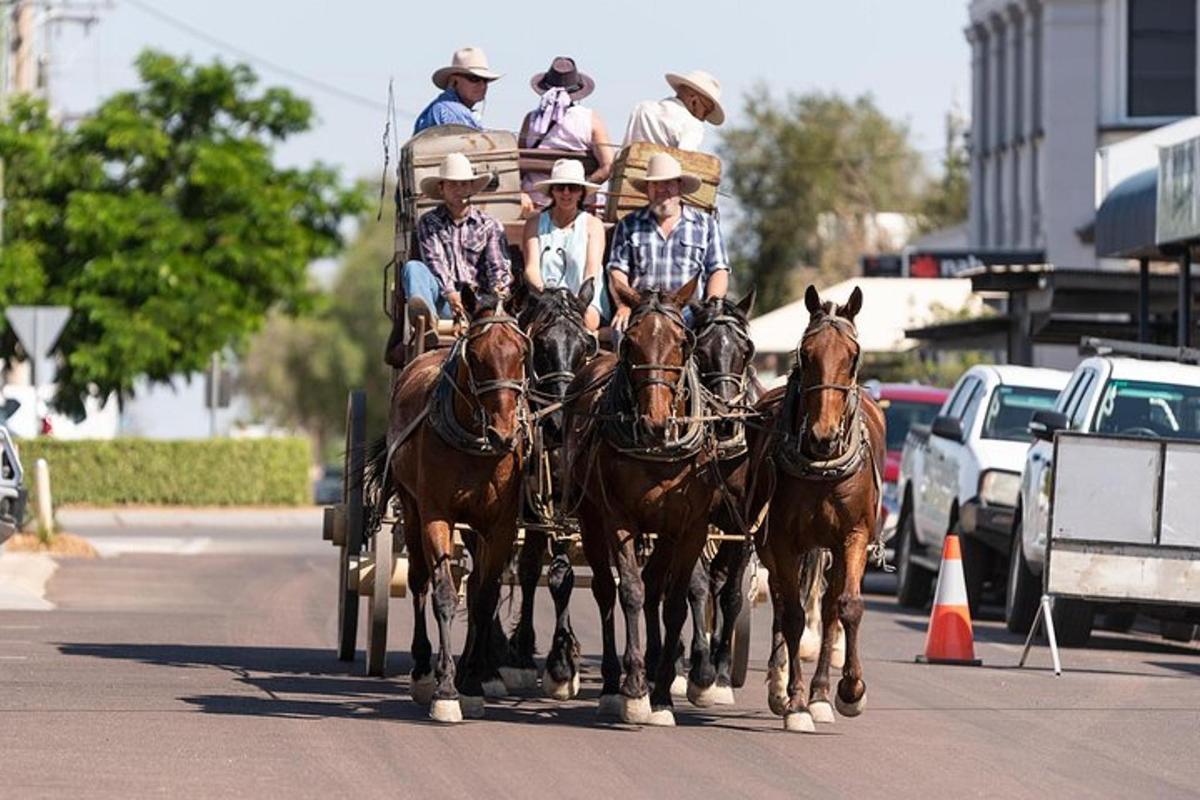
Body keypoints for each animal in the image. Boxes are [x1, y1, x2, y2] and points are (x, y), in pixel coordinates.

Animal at [362, 289, 528, 724]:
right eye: (477, 355)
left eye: (523, 352)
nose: (504, 434)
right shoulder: (436, 515)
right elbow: (444, 594)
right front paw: (447, 690)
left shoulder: (500, 525)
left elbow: (484, 598)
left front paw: (471, 682)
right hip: (410, 505)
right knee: (419, 580)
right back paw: (424, 669)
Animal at [552, 275, 720, 724]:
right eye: (630, 343)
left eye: (684, 341)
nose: (655, 423)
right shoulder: (619, 519)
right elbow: (629, 590)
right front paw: (633, 688)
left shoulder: (689, 526)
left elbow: (676, 599)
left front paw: (661, 693)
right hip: (590, 517)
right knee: (606, 591)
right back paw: (613, 682)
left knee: (657, 584)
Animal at [744, 284, 888, 734]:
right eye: (805, 354)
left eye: (853, 356)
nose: (824, 436)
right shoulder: (782, 541)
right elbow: (790, 615)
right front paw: (794, 702)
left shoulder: (852, 536)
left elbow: (847, 607)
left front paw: (849, 691)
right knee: (781, 602)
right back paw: (781, 686)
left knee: (826, 610)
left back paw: (822, 694)